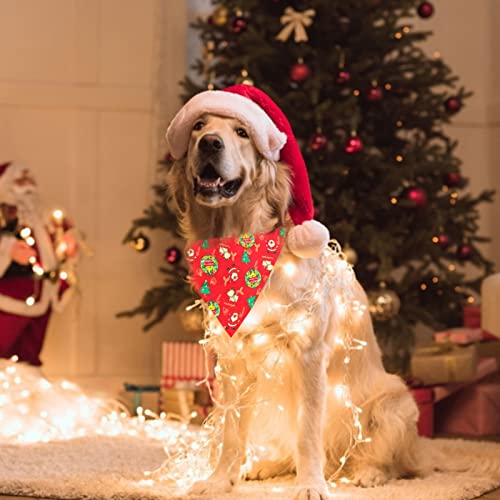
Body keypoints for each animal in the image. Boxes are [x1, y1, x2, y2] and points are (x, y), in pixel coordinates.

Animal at [167, 113, 422, 500]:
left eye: (241, 132)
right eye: (199, 125)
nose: (210, 142)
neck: (239, 243)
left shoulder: (309, 354)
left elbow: (307, 433)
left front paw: (310, 485)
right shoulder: (233, 360)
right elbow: (230, 431)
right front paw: (219, 480)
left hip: (394, 404)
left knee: (391, 461)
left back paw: (368, 473)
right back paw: (262, 466)